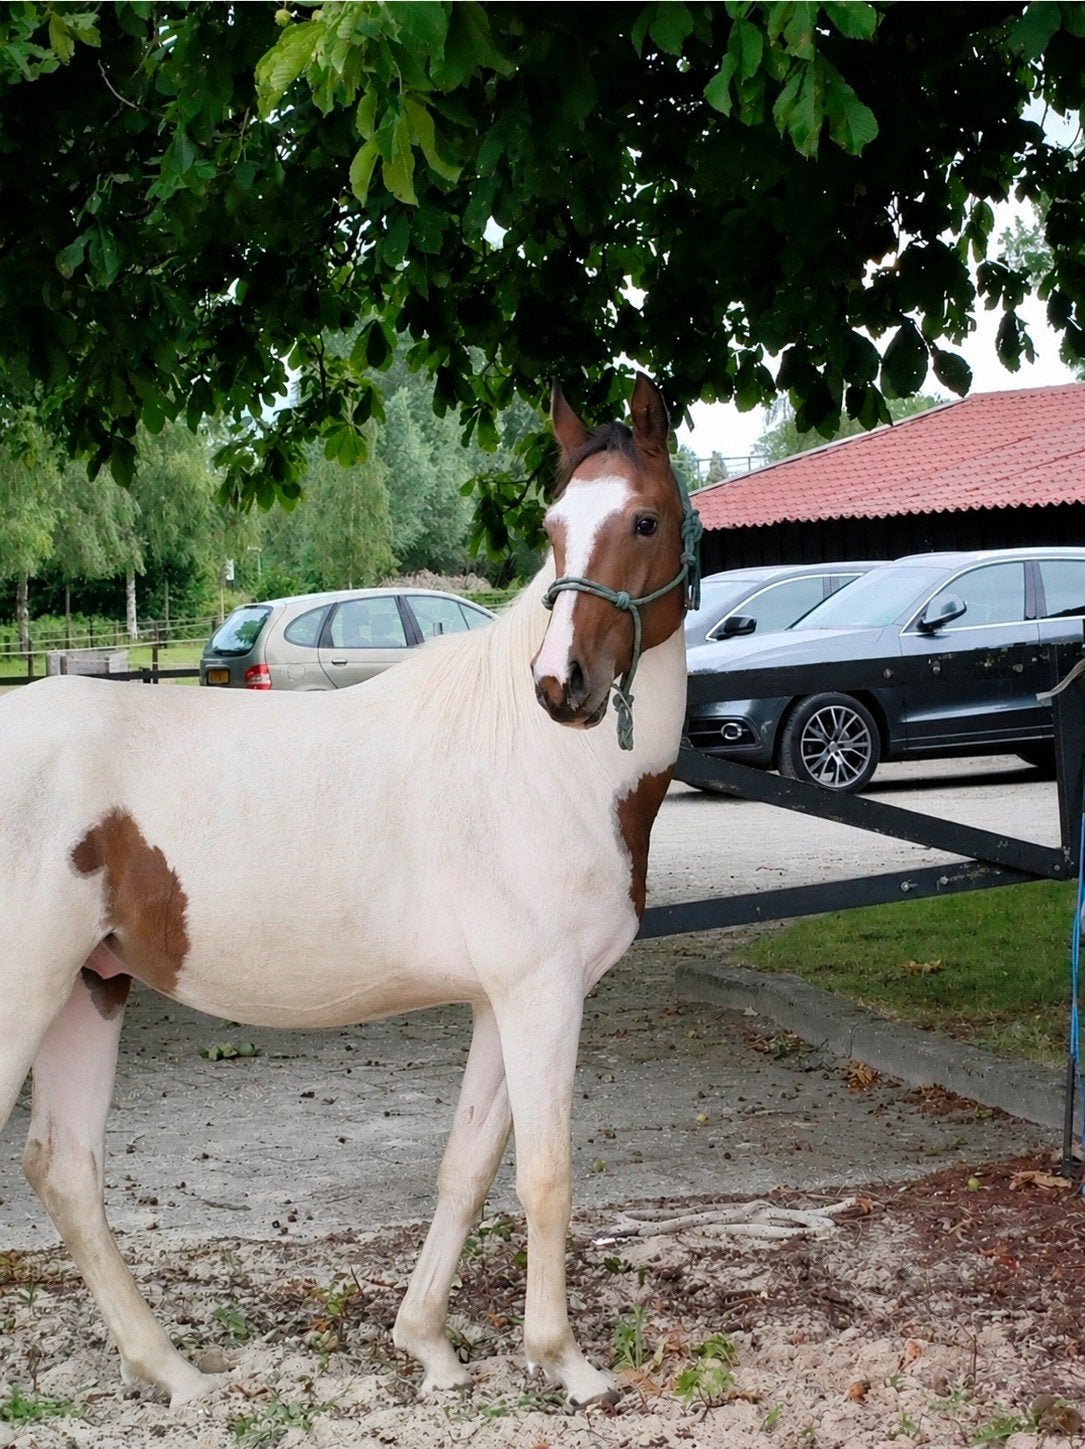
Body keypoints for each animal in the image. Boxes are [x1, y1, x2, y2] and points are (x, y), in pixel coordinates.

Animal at [0, 372, 700, 1410]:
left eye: (644, 519)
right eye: (551, 526)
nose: (559, 685)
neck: (541, 763)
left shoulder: (503, 1001)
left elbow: (466, 1167)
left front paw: (429, 1346)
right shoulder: (542, 994)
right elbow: (545, 1175)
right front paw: (566, 1363)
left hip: (89, 990)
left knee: (67, 1171)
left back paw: (173, 1370)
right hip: (27, 996)